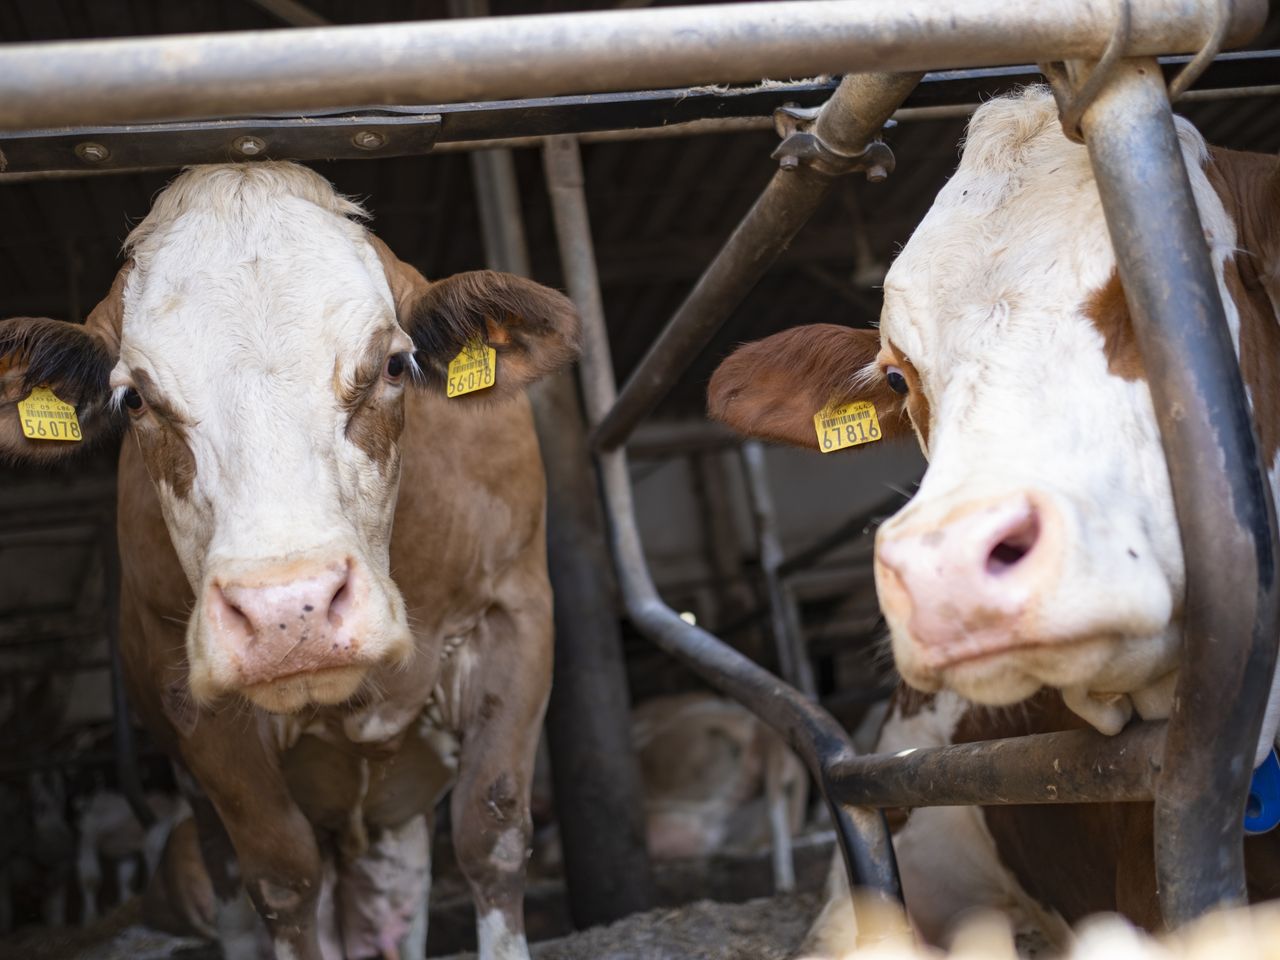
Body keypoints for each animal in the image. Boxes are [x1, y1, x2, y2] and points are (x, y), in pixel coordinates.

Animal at [0, 161, 576, 957]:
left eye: (393, 364)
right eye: (135, 400)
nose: (287, 611)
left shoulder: (514, 619)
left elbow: (489, 834)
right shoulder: (193, 704)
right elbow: (281, 876)